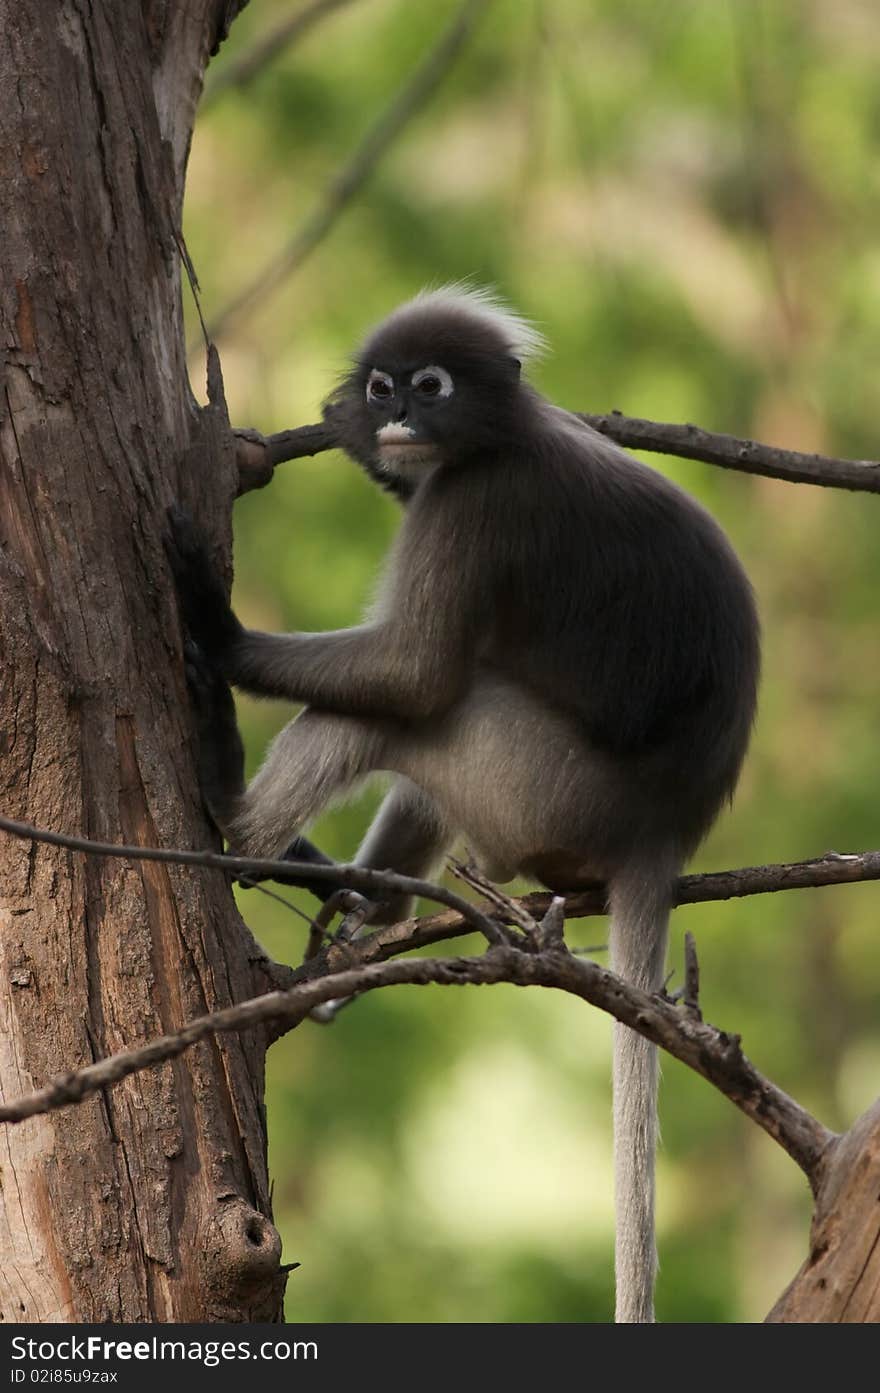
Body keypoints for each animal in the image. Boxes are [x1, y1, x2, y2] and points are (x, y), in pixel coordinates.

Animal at [168, 282, 757, 1314]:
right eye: (383, 385)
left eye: (431, 385)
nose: (396, 414)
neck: (506, 435)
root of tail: (665, 831)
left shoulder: (475, 503)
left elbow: (414, 673)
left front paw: (217, 623)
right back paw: (360, 907)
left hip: (536, 784)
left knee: (420, 706)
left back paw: (237, 819)